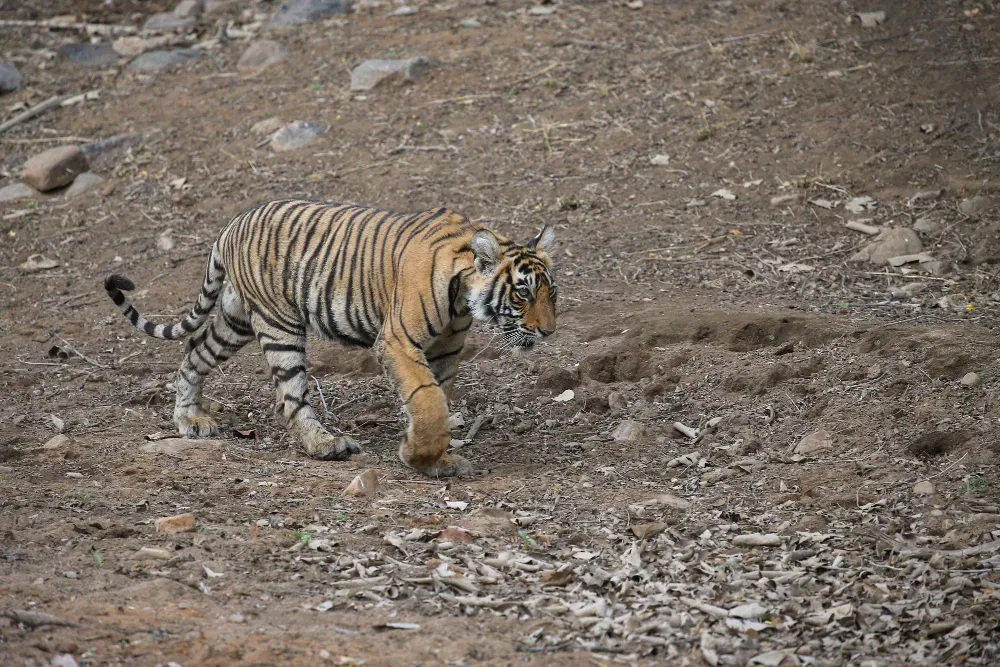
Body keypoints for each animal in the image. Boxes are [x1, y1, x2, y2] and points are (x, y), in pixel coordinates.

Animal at [104, 199, 557, 477]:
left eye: (551, 292)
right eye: (522, 293)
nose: (548, 330)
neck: (463, 296)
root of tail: (233, 223)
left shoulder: (446, 349)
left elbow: (437, 399)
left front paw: (435, 457)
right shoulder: (397, 340)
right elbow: (428, 400)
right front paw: (419, 456)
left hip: (235, 320)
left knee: (194, 352)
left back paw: (188, 418)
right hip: (279, 324)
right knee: (289, 399)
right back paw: (326, 445)